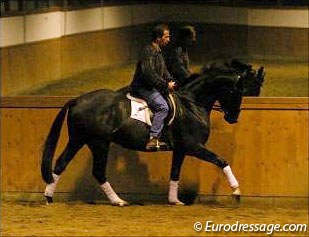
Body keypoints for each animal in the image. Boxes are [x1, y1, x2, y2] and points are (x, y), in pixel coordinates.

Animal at [41, 61, 264, 206]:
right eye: (237, 92)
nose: (233, 118)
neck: (192, 104)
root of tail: (77, 100)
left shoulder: (181, 149)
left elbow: (175, 172)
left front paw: (174, 200)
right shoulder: (194, 147)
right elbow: (222, 161)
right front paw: (236, 191)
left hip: (79, 140)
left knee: (61, 163)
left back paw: (49, 197)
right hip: (99, 143)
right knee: (97, 171)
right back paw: (118, 201)